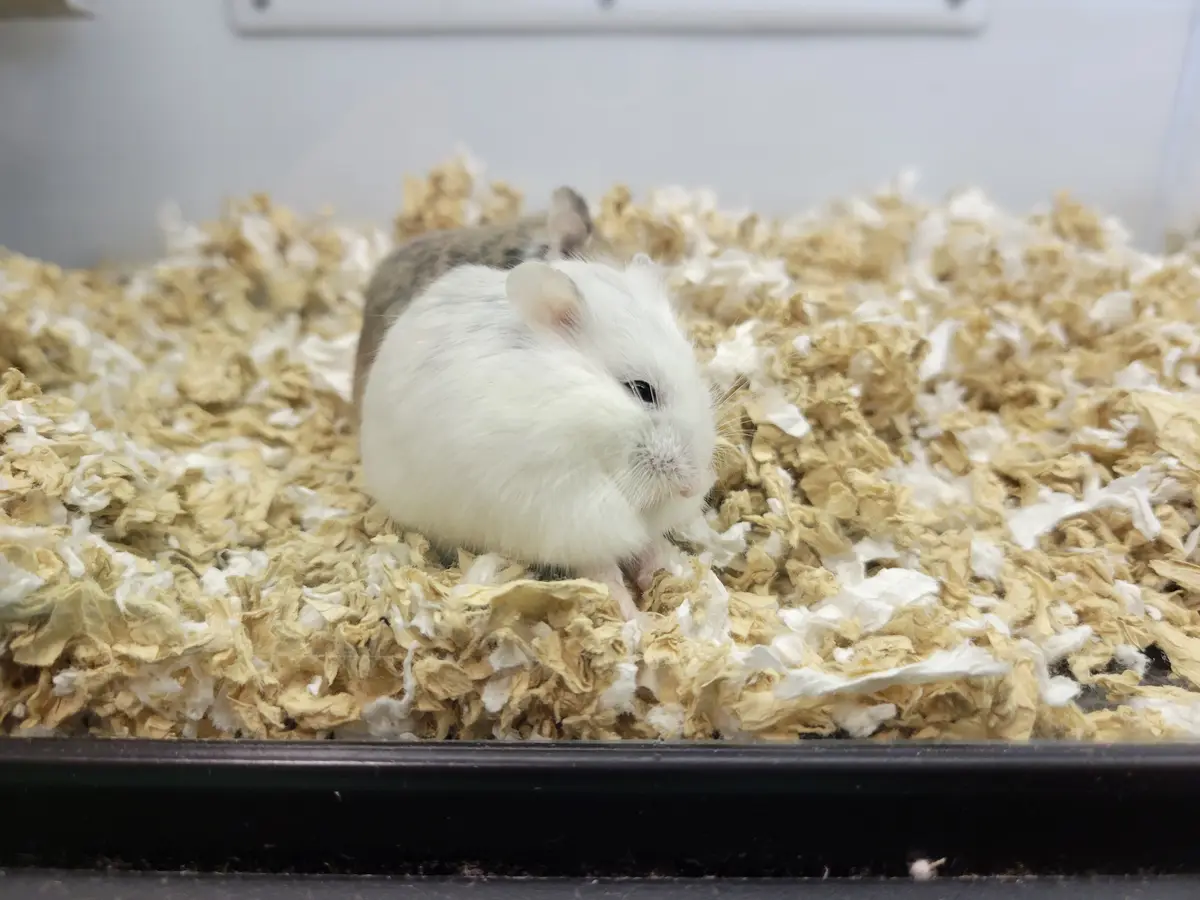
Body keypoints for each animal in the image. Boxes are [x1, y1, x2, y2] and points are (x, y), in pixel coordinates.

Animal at [358, 255, 719, 620]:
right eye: (642, 390)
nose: (692, 488)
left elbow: (644, 541)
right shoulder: (563, 514)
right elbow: (602, 568)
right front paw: (634, 617)